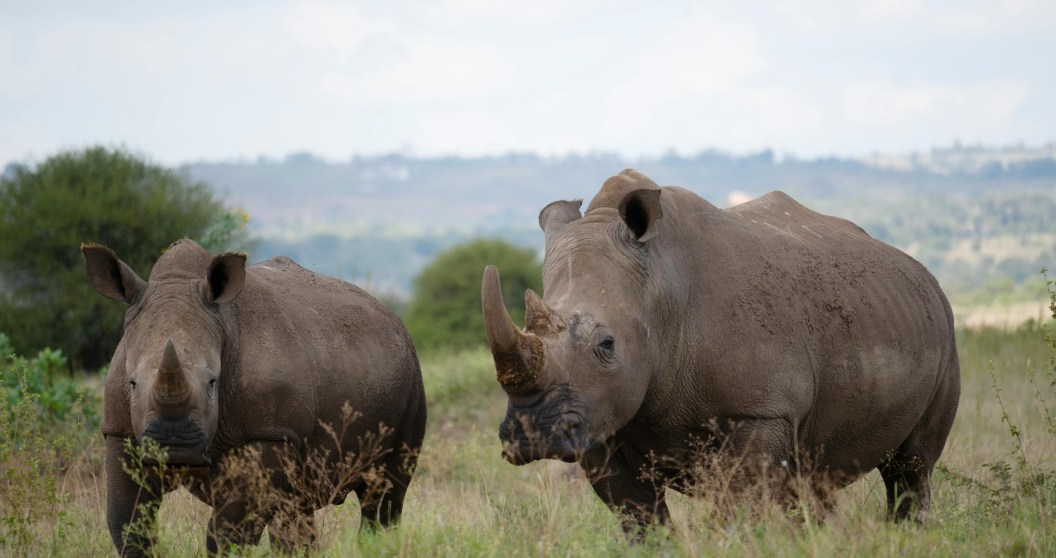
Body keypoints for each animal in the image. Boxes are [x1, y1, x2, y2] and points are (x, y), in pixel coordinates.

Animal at [83, 240, 426, 556]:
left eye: (213, 383)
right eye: (132, 384)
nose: (173, 445)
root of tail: (393, 317)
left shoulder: (267, 434)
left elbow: (227, 534)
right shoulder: (120, 431)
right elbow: (128, 523)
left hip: (412, 375)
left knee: (384, 495)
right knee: (296, 508)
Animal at [482, 169, 960, 530]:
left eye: (607, 344)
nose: (532, 436)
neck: (661, 294)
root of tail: (921, 272)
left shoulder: (760, 410)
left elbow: (736, 509)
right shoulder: (601, 416)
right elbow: (641, 520)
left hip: (944, 331)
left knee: (911, 469)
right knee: (812, 481)